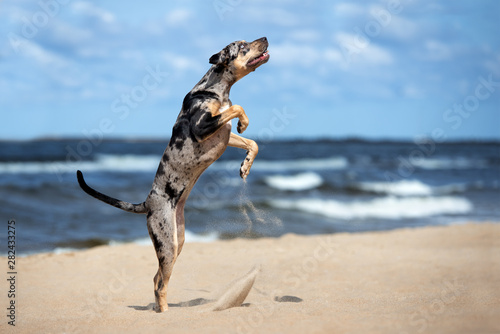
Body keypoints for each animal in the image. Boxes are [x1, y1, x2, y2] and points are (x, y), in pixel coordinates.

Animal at [75, 37, 270, 314]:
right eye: (242, 46)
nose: (265, 38)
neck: (216, 89)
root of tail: (147, 203)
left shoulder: (222, 132)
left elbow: (251, 141)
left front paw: (246, 166)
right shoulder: (202, 126)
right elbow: (238, 109)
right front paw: (244, 122)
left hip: (178, 242)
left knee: (157, 278)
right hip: (167, 244)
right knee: (160, 284)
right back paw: (165, 313)